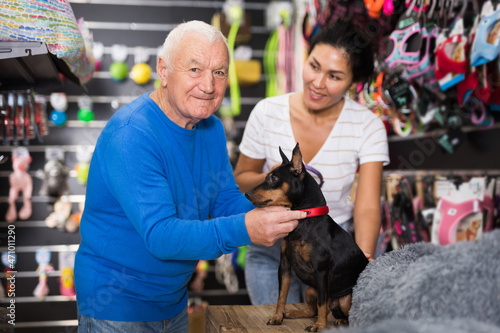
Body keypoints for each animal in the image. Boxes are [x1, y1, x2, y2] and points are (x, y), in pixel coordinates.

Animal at [245, 144, 368, 330]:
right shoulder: (285, 266)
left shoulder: (321, 271)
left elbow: (322, 303)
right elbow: (282, 295)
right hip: (310, 289)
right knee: (313, 310)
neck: (304, 219)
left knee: (333, 309)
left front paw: (320, 326)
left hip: (346, 298)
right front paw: (277, 316)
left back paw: (341, 321)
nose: (247, 193)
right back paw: (292, 313)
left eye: (273, 178)